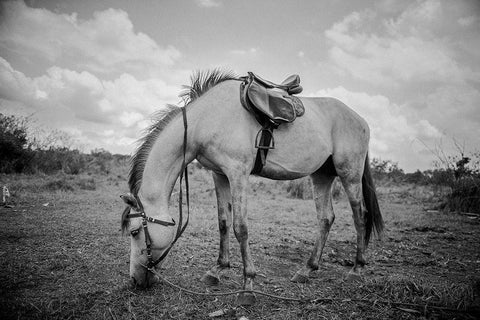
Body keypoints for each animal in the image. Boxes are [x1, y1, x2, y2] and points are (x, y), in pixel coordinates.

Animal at [121, 69, 386, 304]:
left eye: (134, 232)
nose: (134, 280)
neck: (205, 120)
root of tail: (360, 119)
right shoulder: (219, 175)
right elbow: (223, 223)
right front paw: (217, 270)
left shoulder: (238, 174)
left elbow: (241, 228)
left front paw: (248, 286)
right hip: (322, 175)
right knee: (326, 218)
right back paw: (307, 270)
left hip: (349, 173)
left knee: (360, 216)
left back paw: (356, 269)